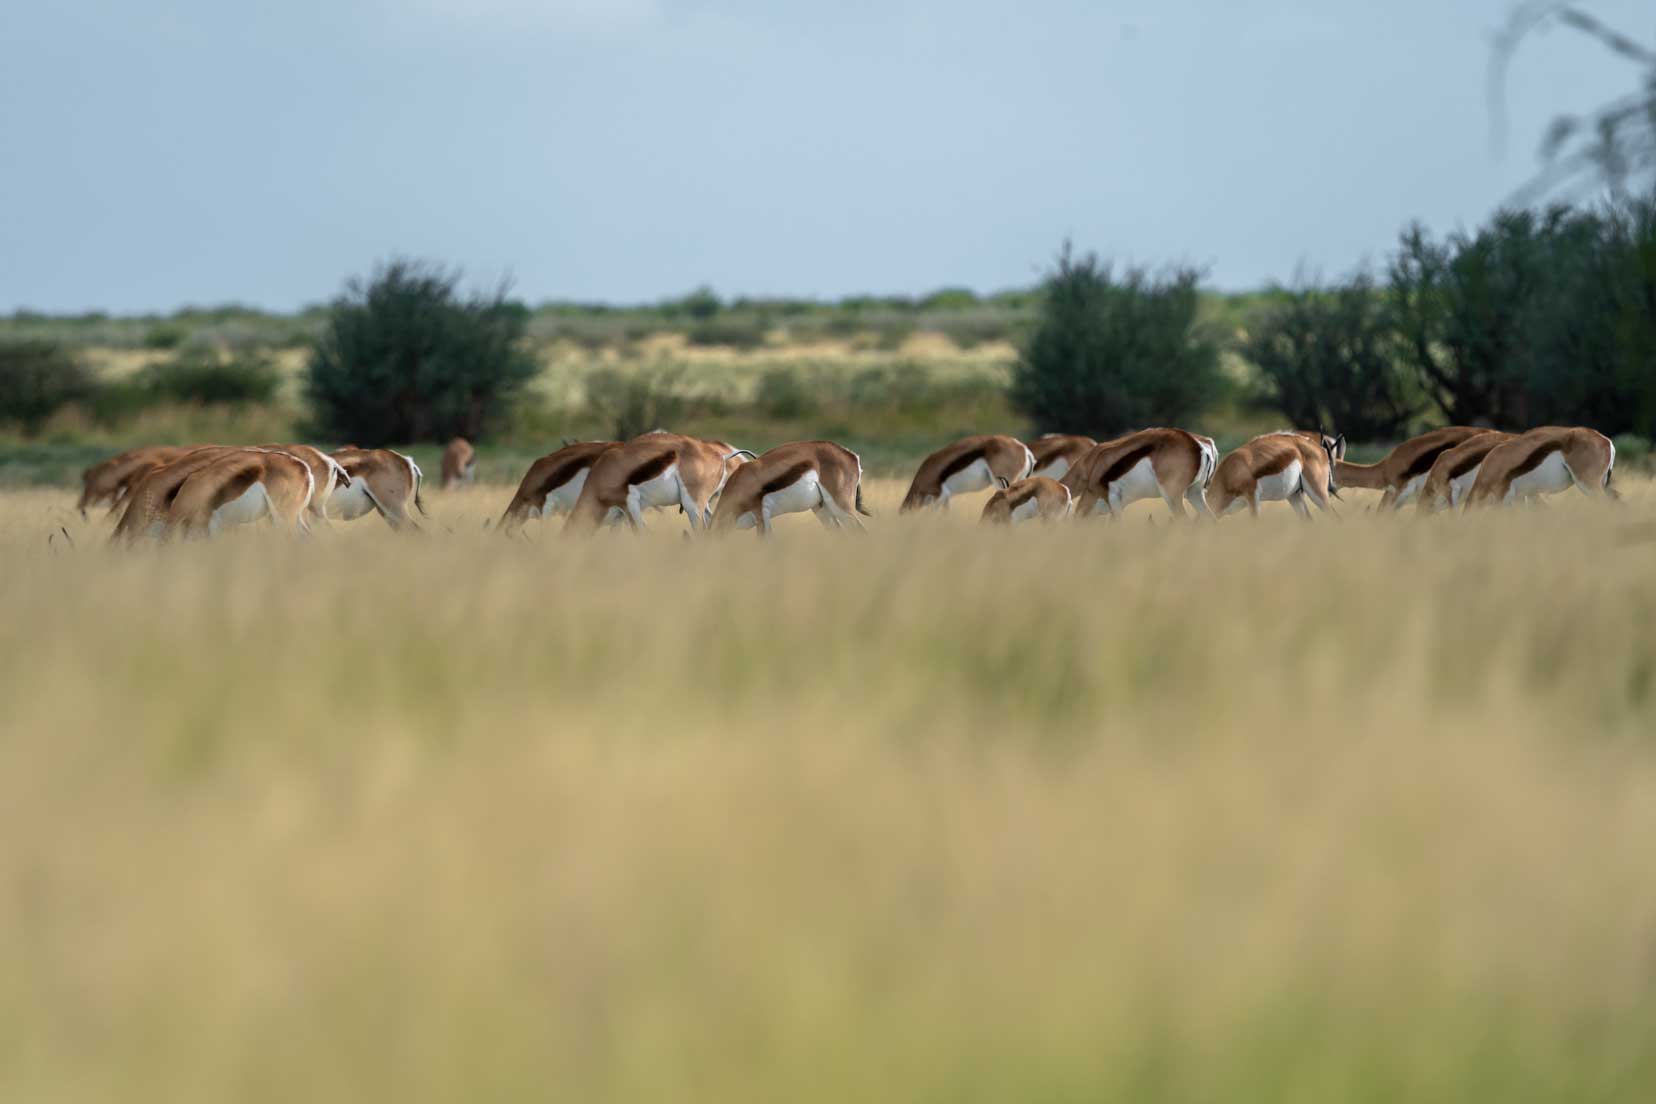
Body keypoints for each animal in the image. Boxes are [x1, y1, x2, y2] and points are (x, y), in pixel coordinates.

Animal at [566, 430, 755, 536]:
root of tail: (721, 456)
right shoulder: (619, 516)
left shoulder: (630, 504)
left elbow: (641, 534)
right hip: (704, 505)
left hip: (692, 506)